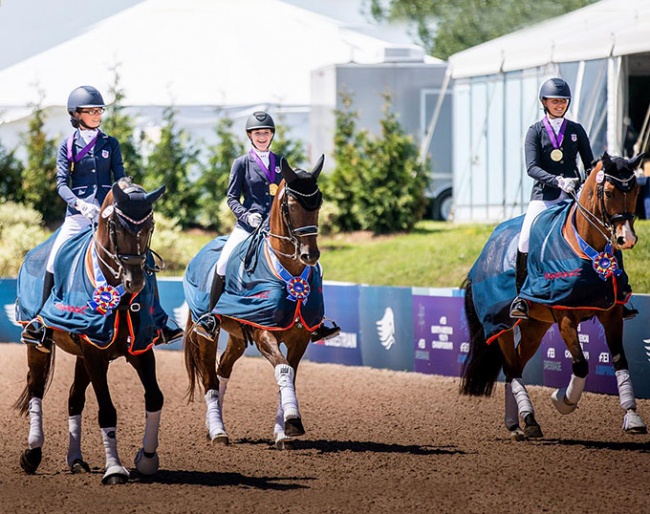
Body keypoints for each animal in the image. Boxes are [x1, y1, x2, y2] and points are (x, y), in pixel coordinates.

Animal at [14, 176, 166, 480]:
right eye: (117, 227)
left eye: (150, 226)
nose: (135, 282)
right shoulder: (95, 353)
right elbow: (107, 410)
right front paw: (115, 469)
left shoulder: (138, 348)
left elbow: (155, 397)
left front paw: (146, 458)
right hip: (39, 343)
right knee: (36, 388)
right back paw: (32, 453)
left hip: (83, 354)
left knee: (74, 398)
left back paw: (75, 458)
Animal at [182, 156, 324, 448]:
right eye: (291, 205)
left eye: (319, 203)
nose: (310, 255)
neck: (289, 272)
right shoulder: (264, 334)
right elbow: (283, 370)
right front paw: (293, 421)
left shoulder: (300, 338)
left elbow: (288, 376)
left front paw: (282, 432)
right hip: (205, 334)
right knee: (209, 378)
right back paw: (218, 432)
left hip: (237, 336)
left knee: (223, 370)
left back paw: (212, 425)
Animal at [458, 151, 644, 436]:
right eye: (609, 192)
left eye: (635, 190)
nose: (627, 239)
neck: (585, 247)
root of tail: (484, 253)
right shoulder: (566, 319)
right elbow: (580, 365)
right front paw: (563, 400)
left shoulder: (611, 312)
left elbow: (619, 361)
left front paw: (633, 417)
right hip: (501, 325)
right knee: (511, 367)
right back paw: (527, 419)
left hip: (535, 327)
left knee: (515, 367)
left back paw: (517, 422)